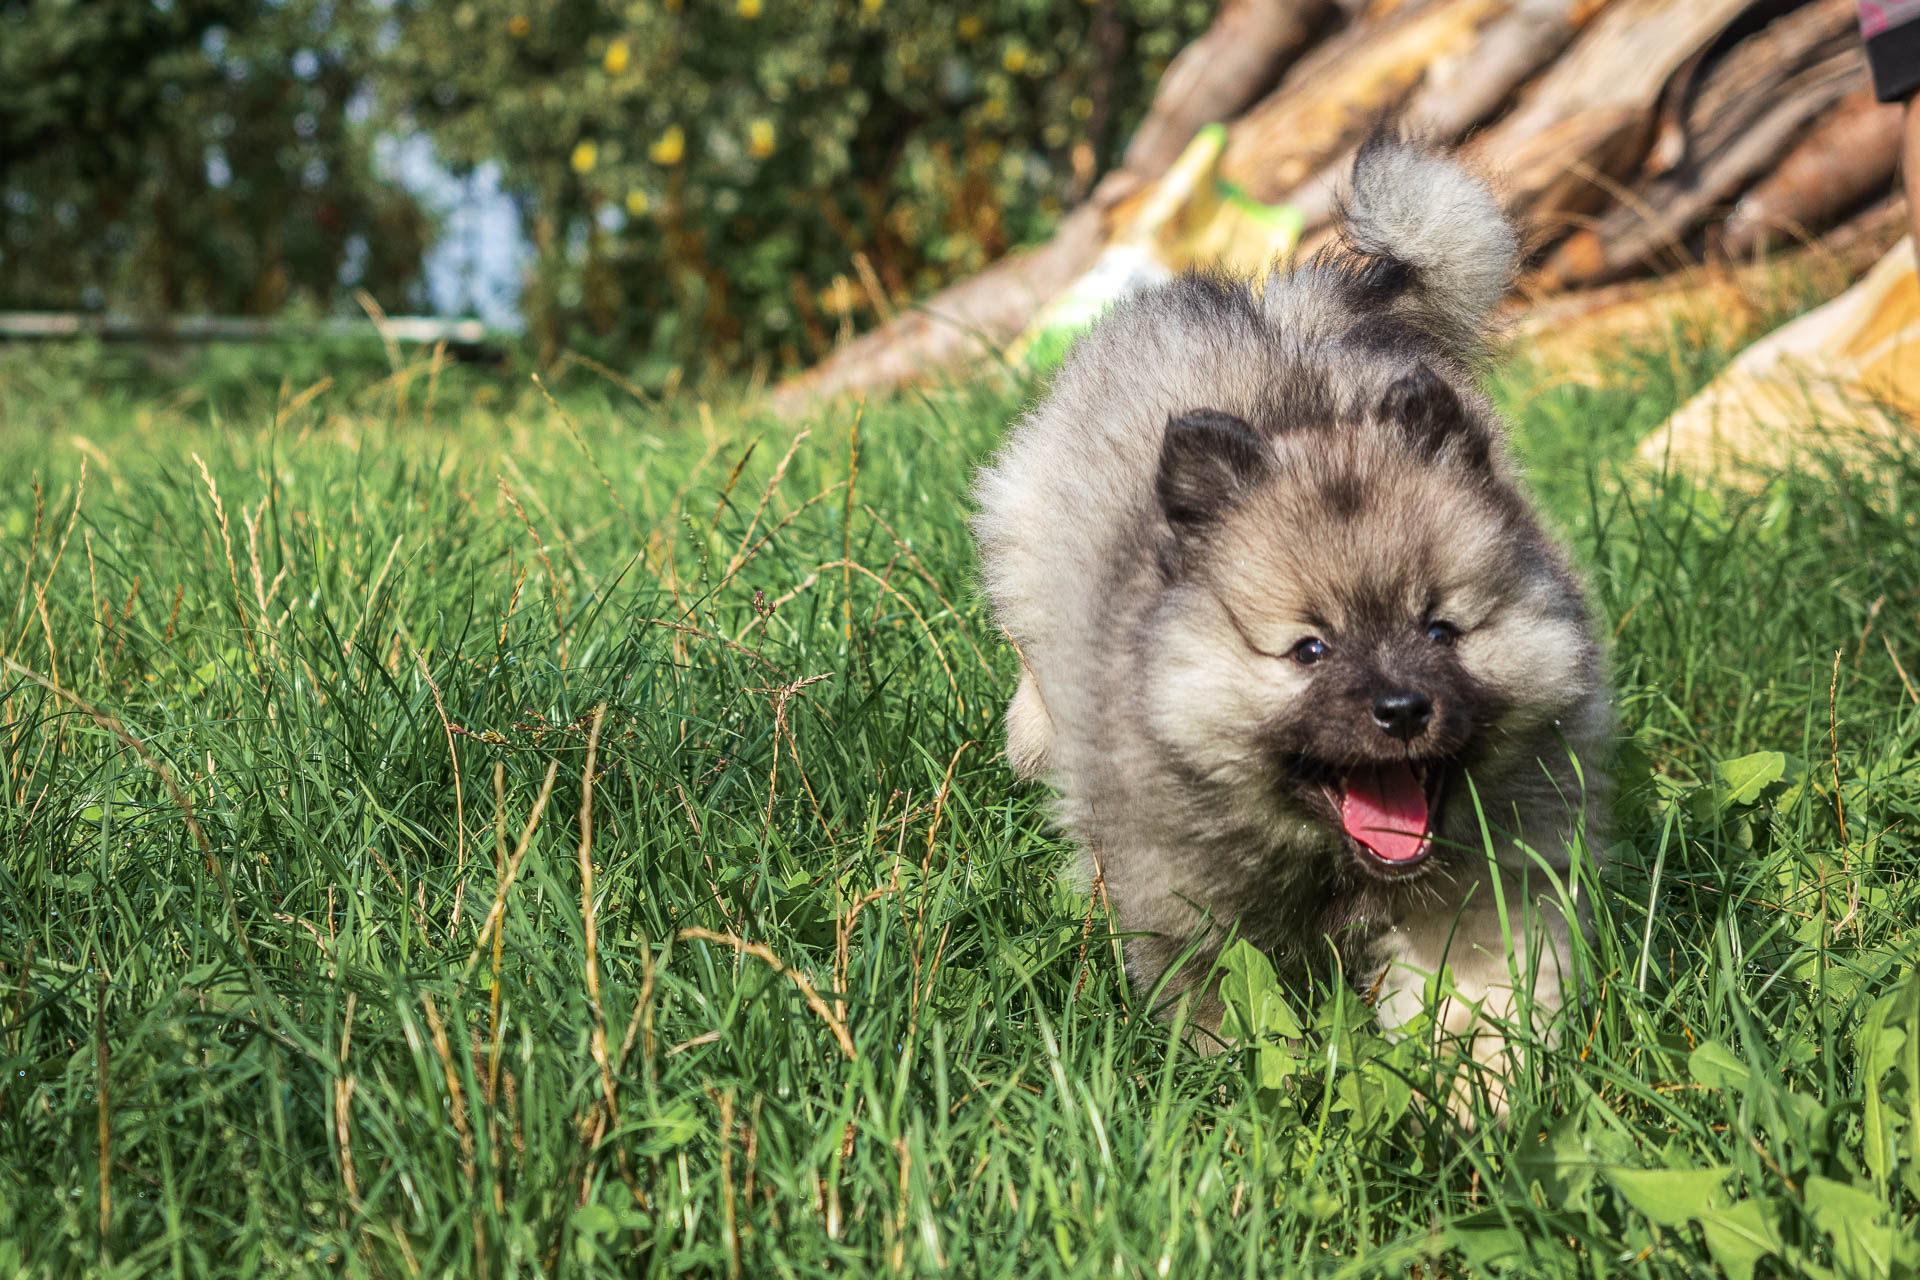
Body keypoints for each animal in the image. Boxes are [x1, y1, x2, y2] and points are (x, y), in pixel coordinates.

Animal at [967, 135, 1612, 1105]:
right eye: (1309, 649)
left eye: (1440, 631)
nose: (1402, 711)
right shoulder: (1186, 903)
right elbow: (1224, 1011)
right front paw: (1236, 1094)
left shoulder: (1486, 886)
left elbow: (1479, 994)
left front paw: (1484, 1101)